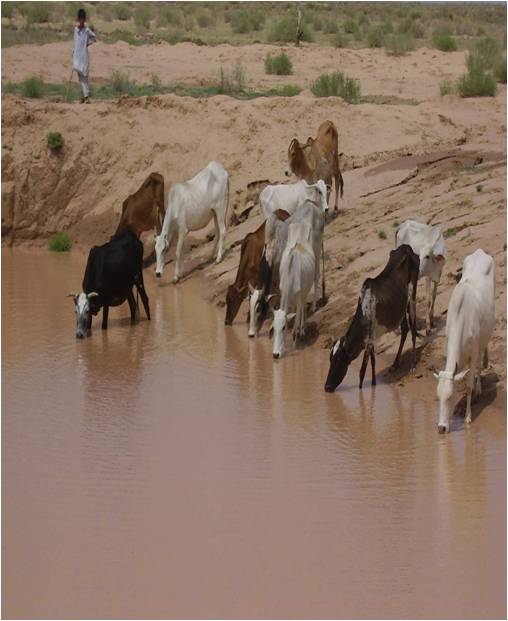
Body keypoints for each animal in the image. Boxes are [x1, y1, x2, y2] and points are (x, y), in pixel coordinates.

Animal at [249, 199, 326, 338]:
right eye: (250, 308)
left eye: (258, 309)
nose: (251, 334)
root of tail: (312, 204)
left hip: (317, 250)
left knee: (317, 275)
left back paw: (313, 306)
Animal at [271, 220, 316, 359]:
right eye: (273, 328)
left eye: (284, 327)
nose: (275, 354)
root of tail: (301, 224)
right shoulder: (284, 294)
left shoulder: (299, 297)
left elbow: (296, 317)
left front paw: (295, 341)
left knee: (303, 308)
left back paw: (302, 329)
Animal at [324, 245, 419, 392]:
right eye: (330, 359)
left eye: (339, 359)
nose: (327, 387)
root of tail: (406, 247)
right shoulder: (372, 336)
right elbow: (373, 362)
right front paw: (374, 384)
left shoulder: (368, 339)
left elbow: (362, 371)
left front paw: (361, 390)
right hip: (401, 307)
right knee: (405, 329)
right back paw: (395, 365)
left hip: (412, 297)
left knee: (413, 329)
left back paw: (413, 366)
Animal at [433, 249, 495, 433]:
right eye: (438, 396)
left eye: (450, 396)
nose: (441, 428)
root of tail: (480, 252)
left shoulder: (473, 352)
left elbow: (468, 386)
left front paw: (467, 417)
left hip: (482, 340)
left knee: (481, 358)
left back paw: (479, 389)